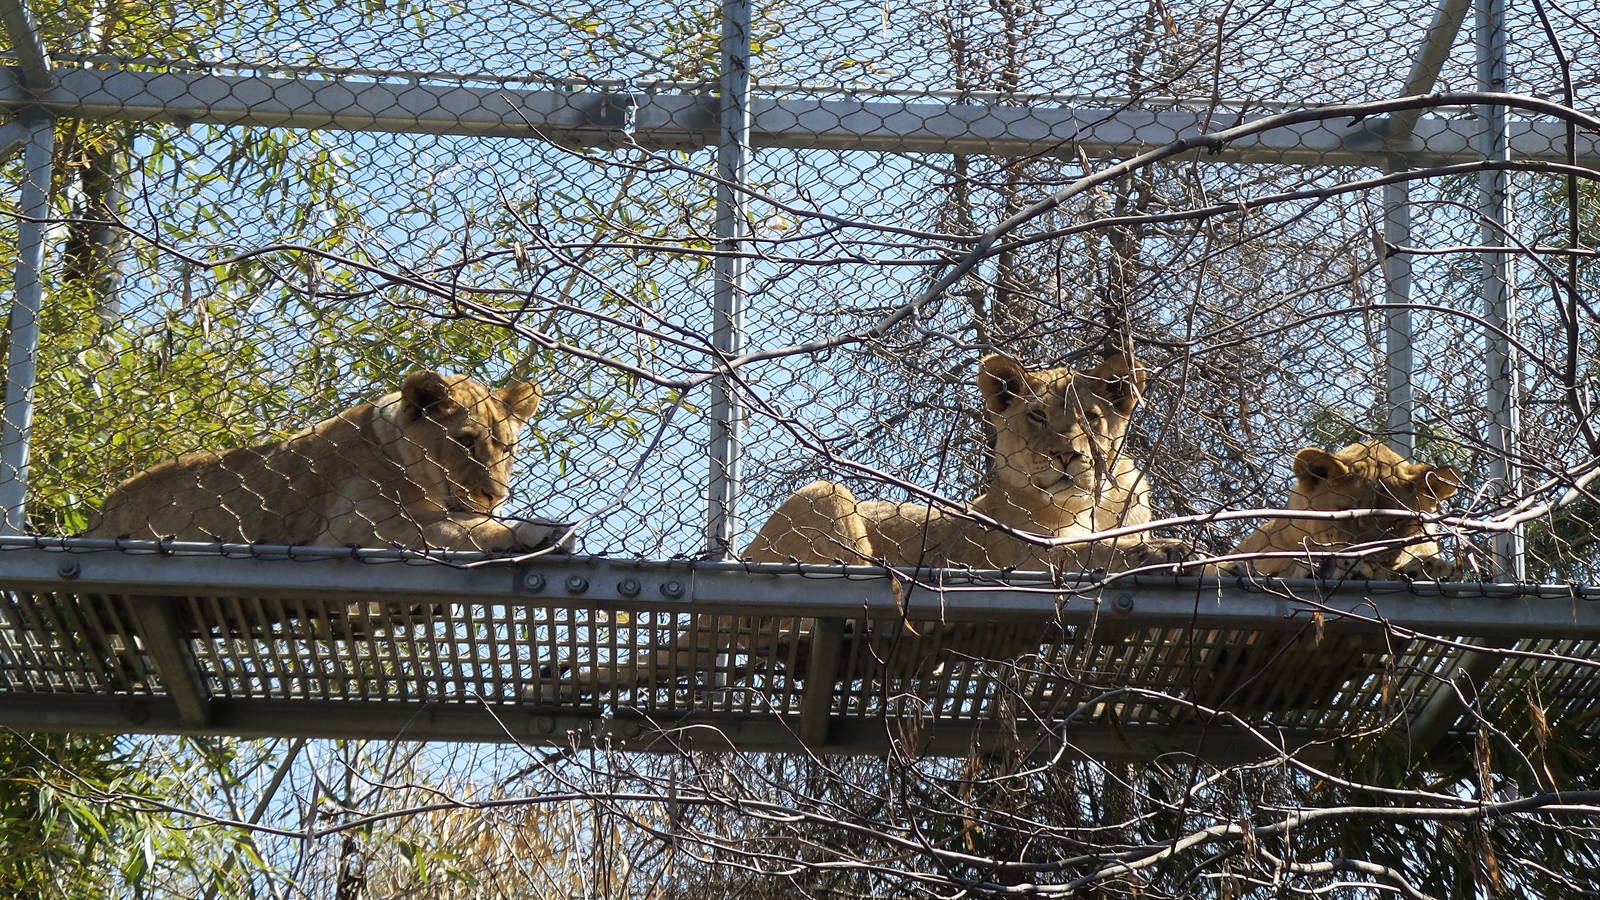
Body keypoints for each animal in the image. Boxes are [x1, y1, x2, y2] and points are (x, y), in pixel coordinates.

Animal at [86, 369, 574, 554]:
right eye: (466, 442)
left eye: (506, 449)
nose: (495, 495)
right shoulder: (355, 526)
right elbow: (457, 527)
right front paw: (541, 530)